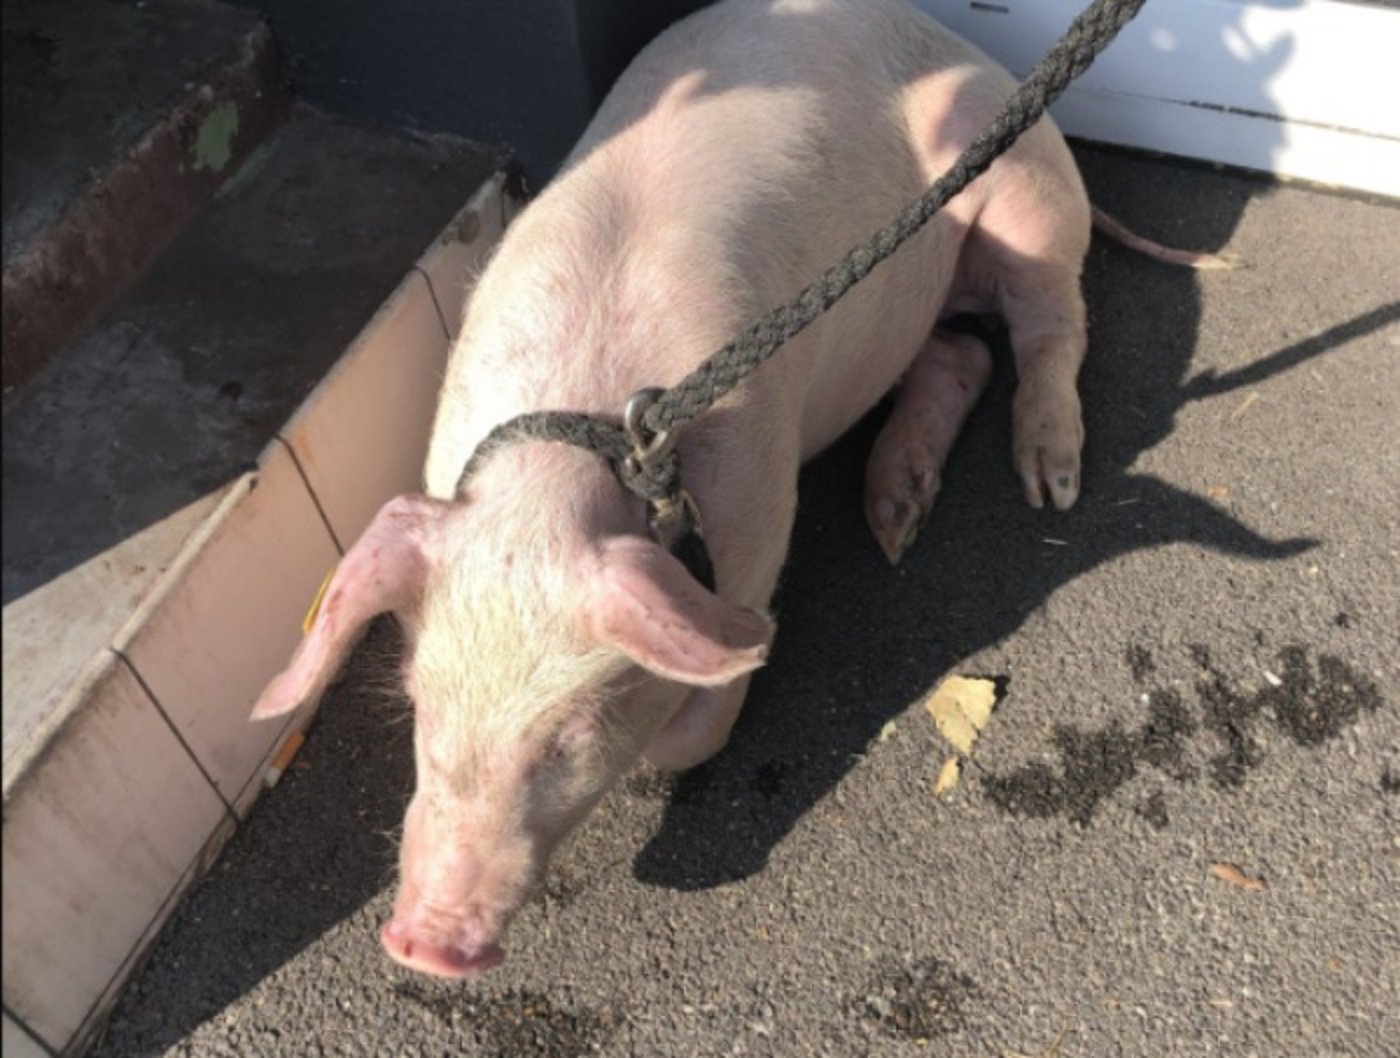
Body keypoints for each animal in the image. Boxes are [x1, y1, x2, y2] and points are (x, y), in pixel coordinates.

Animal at [252, 0, 1217, 977]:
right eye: (420, 704)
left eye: (569, 736)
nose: (423, 943)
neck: (573, 466)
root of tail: (967, 49)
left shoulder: (761, 505)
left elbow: (712, 699)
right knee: (960, 352)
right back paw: (892, 520)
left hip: (1026, 193)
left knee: (1052, 322)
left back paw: (1048, 483)